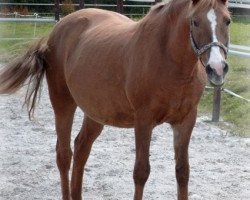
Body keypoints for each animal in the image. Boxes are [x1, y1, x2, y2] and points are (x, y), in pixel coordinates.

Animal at [0, 0, 230, 200]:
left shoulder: (186, 121)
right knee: (64, 155)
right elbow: (141, 172)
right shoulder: (144, 121)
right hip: (62, 103)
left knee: (81, 149)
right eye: (195, 21)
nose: (217, 68)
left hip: (95, 113)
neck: (168, 58)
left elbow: (183, 172)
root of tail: (57, 30)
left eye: (227, 20)